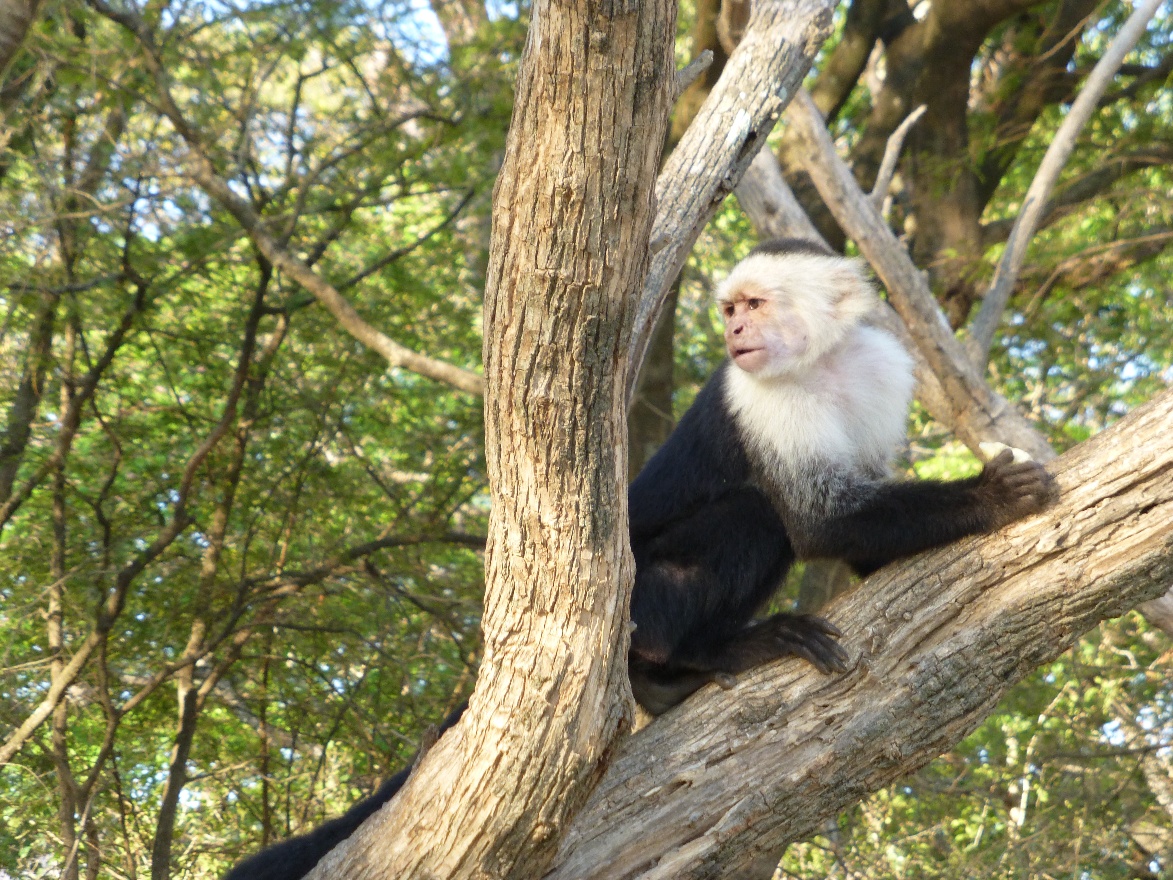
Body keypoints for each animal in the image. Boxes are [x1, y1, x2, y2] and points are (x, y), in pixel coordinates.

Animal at [625, 238, 1057, 714]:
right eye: (731, 310)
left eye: (754, 305)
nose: (733, 330)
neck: (822, 361)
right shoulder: (763, 397)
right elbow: (819, 522)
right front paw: (991, 496)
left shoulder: (883, 368)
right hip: (640, 598)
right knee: (756, 513)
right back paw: (680, 661)